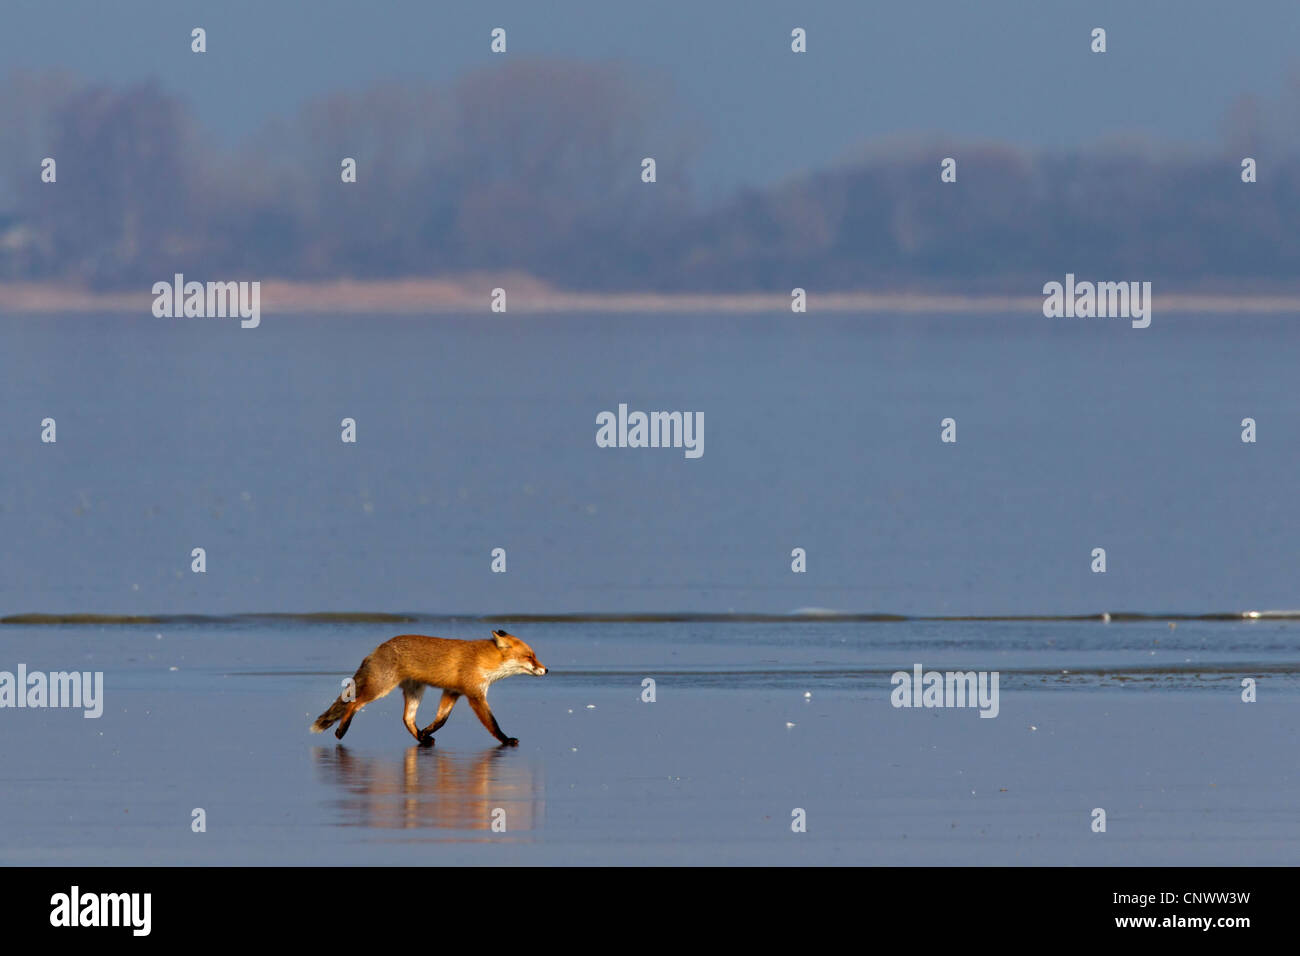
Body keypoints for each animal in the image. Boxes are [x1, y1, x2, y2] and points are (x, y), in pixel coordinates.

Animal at [314, 632, 548, 749]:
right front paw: (506, 740)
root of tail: (378, 648)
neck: (485, 661)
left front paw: (426, 731)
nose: (546, 670)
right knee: (354, 704)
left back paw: (422, 739)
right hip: (381, 688)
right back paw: (341, 731)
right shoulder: (475, 694)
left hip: (415, 691)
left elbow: (442, 719)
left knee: (407, 718)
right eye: (530, 656)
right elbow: (492, 723)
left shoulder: (452, 692)